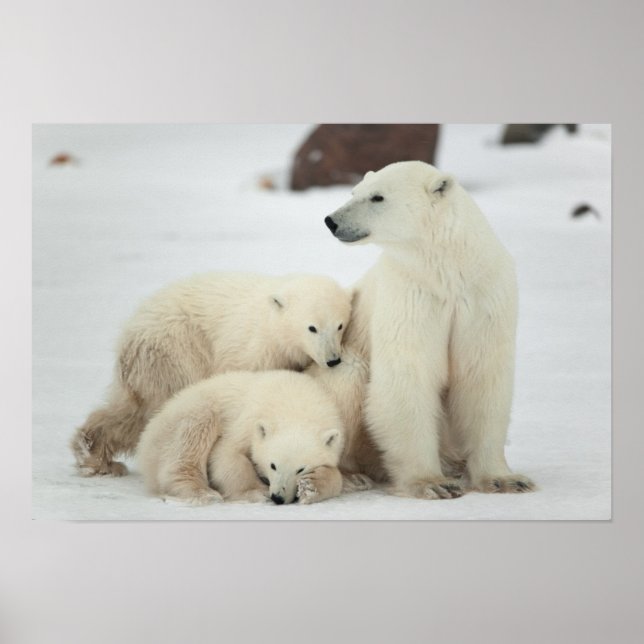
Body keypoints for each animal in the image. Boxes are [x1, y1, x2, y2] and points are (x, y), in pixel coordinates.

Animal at [71, 272, 351, 478]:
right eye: (312, 327)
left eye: (340, 325)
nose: (333, 359)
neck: (271, 326)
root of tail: (128, 335)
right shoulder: (249, 350)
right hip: (175, 350)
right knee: (155, 407)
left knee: (131, 411)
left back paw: (94, 455)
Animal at [137, 370, 345, 505]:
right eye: (273, 465)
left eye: (300, 469)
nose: (277, 497)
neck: (295, 403)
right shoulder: (248, 419)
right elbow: (226, 455)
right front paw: (257, 492)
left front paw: (311, 487)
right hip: (189, 415)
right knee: (189, 440)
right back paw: (204, 492)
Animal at [324, 161, 535, 499]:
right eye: (354, 191)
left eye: (377, 197)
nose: (331, 220)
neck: (447, 269)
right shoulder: (411, 294)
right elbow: (409, 374)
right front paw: (432, 483)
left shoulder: (483, 296)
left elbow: (481, 376)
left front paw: (506, 479)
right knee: (348, 378)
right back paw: (350, 476)